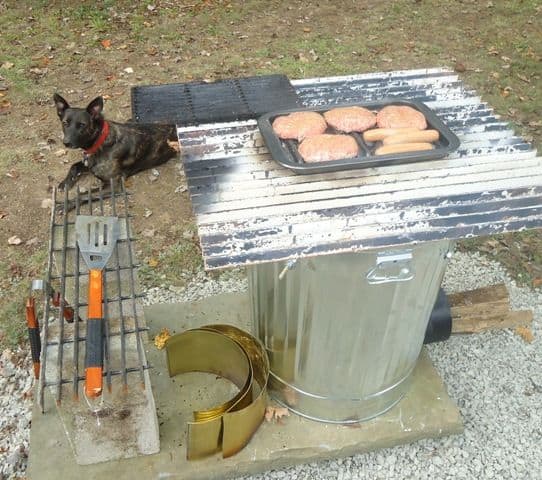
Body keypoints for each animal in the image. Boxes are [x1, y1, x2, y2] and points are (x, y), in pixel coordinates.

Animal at [53, 93, 181, 202]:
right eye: (65, 123)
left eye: (82, 125)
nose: (66, 143)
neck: (100, 141)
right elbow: (74, 166)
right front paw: (65, 183)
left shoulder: (112, 185)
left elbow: (83, 195)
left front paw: (63, 205)